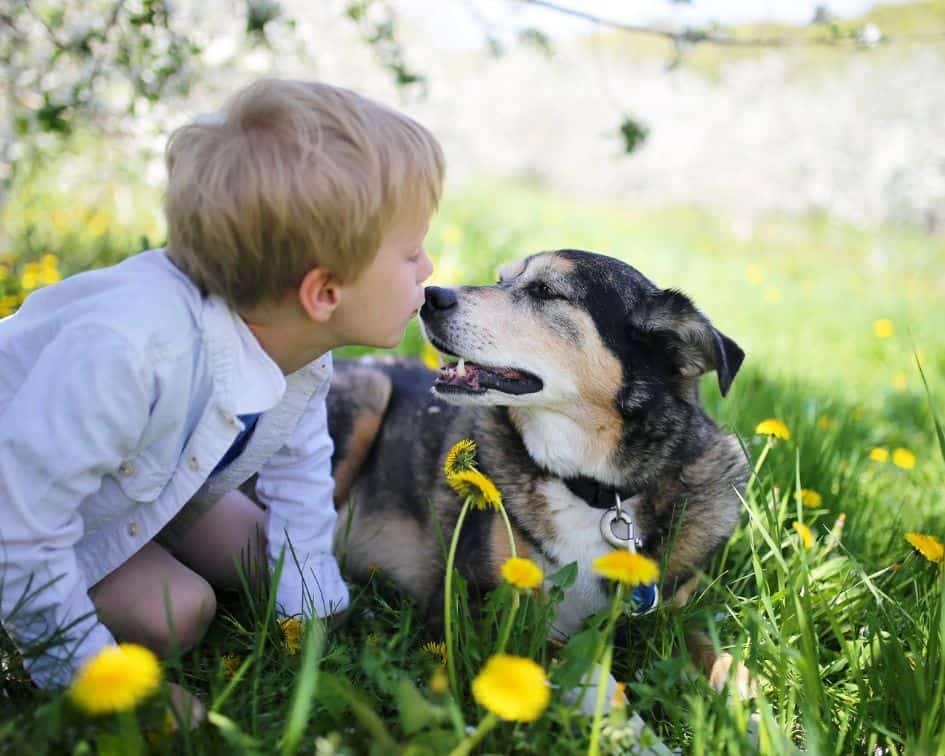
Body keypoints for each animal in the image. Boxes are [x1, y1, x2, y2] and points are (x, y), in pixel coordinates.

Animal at [328, 248, 748, 692]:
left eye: (546, 291)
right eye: (501, 280)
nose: (429, 296)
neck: (596, 493)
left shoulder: (670, 614)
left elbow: (716, 653)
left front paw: (747, 702)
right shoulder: (474, 608)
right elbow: (569, 666)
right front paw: (617, 710)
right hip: (369, 391)